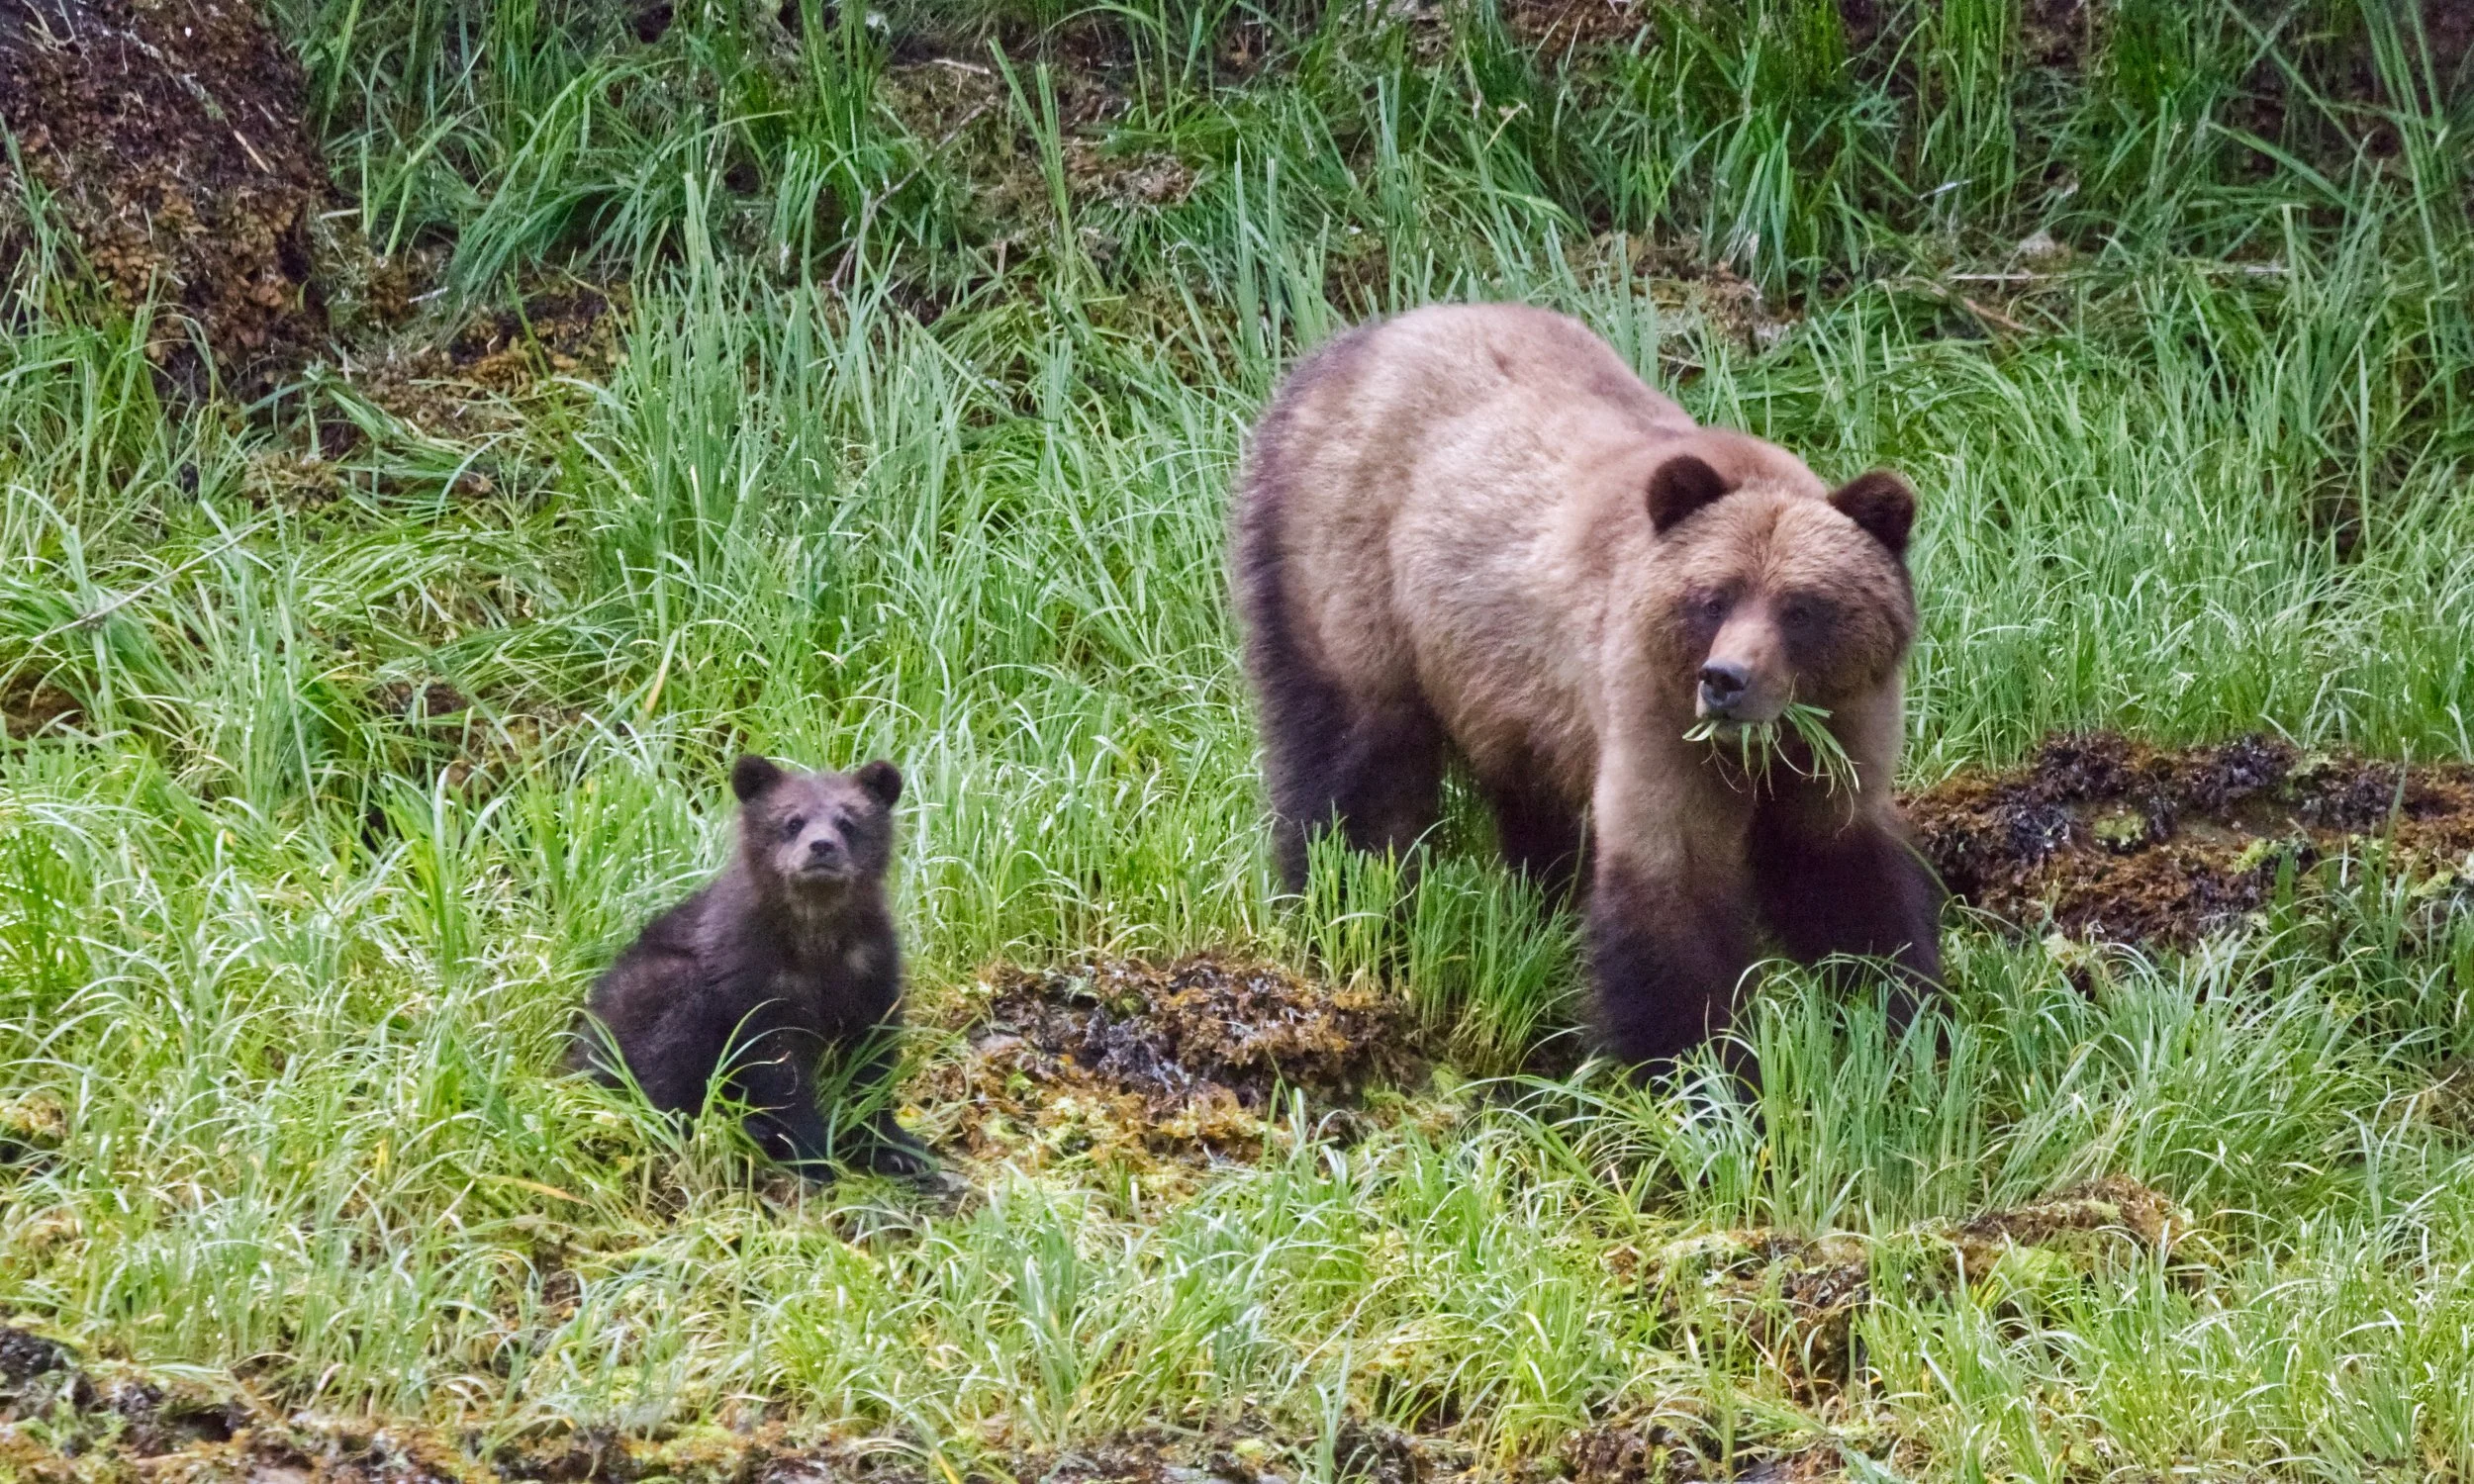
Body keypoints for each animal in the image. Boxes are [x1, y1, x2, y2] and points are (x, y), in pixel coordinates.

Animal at [570, 754, 936, 1180]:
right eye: (792, 821)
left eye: (848, 821)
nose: (822, 847)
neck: (815, 932)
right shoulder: (753, 973)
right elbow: (777, 1065)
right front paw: (811, 1153)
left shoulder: (869, 964)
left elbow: (873, 1054)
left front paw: (896, 1147)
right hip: (649, 993)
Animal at [1230, 302, 1941, 1068]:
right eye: (1713, 598)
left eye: (1801, 607)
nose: (1726, 681)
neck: (1764, 746)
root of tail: (1344, 347)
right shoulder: (1654, 712)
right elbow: (1669, 893)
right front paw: (1703, 1065)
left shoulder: (1842, 732)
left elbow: (1845, 877)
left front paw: (1906, 1019)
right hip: (1353, 573)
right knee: (1356, 772)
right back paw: (1353, 914)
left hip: (1516, 692)